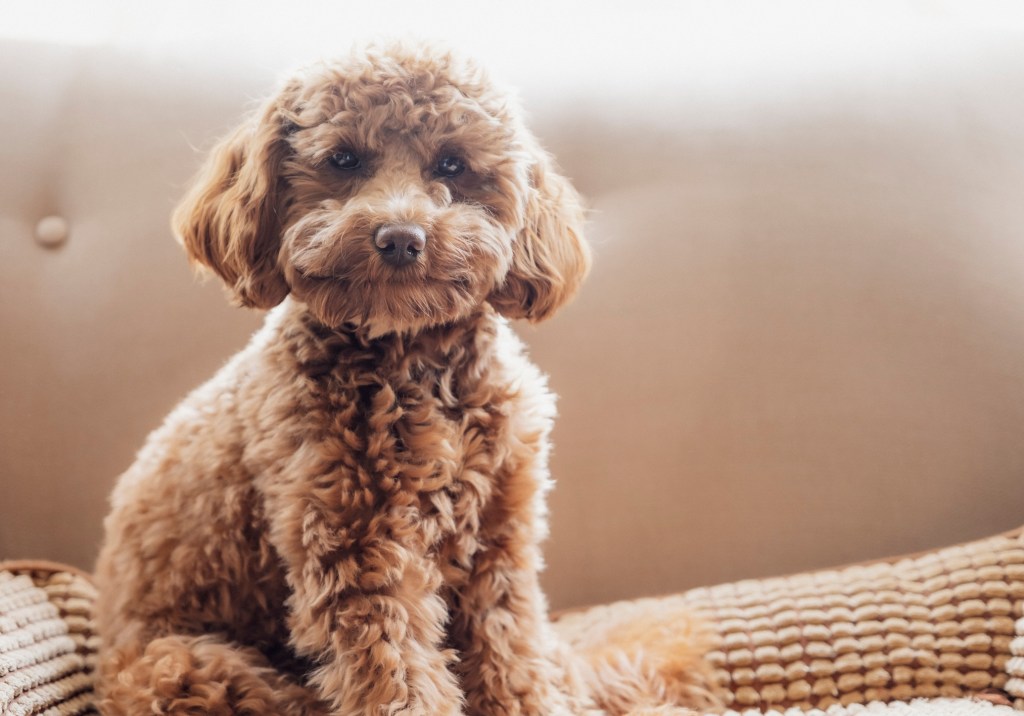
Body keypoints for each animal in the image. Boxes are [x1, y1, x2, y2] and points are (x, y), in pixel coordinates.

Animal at [97, 40, 720, 716]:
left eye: (452, 163)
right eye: (343, 159)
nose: (400, 237)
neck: (415, 359)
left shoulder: (497, 547)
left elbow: (513, 659)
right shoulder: (360, 553)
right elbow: (398, 679)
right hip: (183, 667)